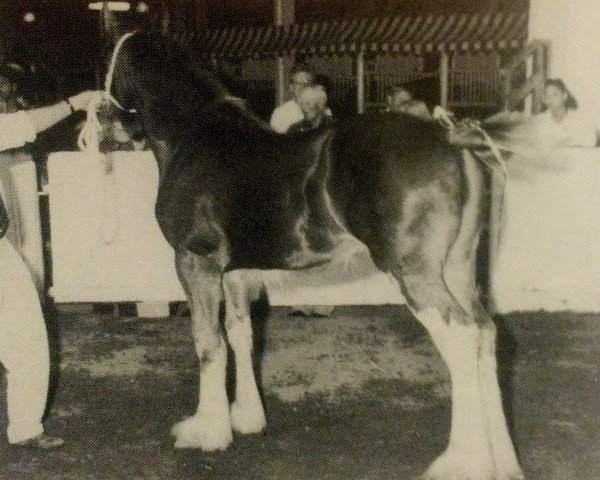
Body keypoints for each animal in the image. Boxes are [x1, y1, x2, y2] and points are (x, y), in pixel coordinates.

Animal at [106, 31, 524, 480]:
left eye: (111, 63)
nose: (104, 125)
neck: (196, 137)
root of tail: (449, 137)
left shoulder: (195, 263)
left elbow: (207, 342)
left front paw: (208, 431)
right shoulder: (235, 273)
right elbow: (239, 335)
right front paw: (246, 417)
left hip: (417, 275)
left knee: (463, 338)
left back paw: (463, 462)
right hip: (459, 269)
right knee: (486, 333)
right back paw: (503, 460)